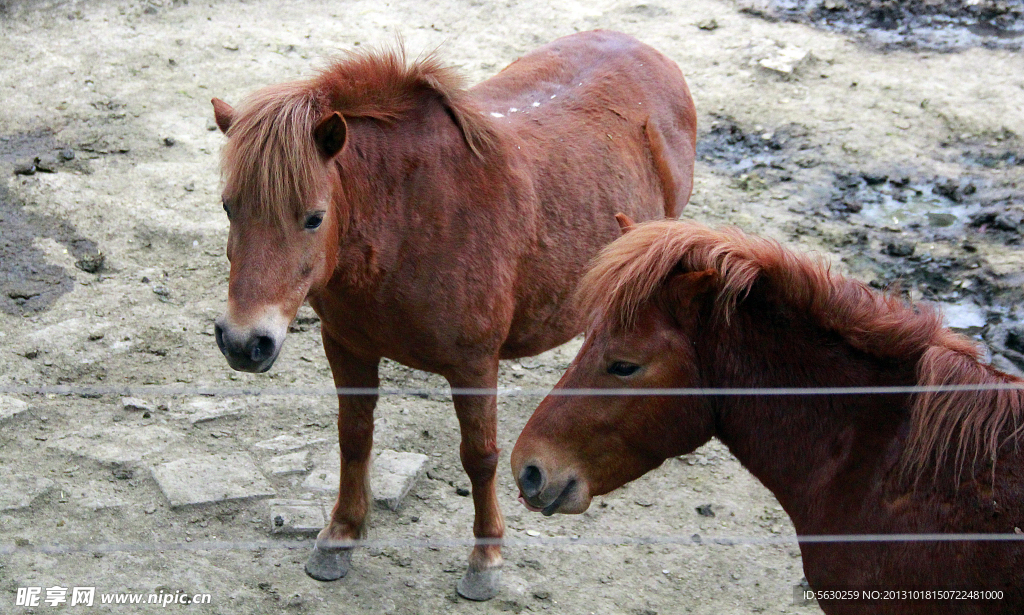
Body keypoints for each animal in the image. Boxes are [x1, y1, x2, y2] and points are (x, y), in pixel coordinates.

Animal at [211, 31, 700, 597]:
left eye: (314, 218)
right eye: (228, 206)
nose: (244, 343)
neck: (408, 218)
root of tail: (645, 51)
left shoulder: (474, 365)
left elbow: (480, 457)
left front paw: (485, 560)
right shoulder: (347, 344)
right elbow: (354, 439)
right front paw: (340, 538)